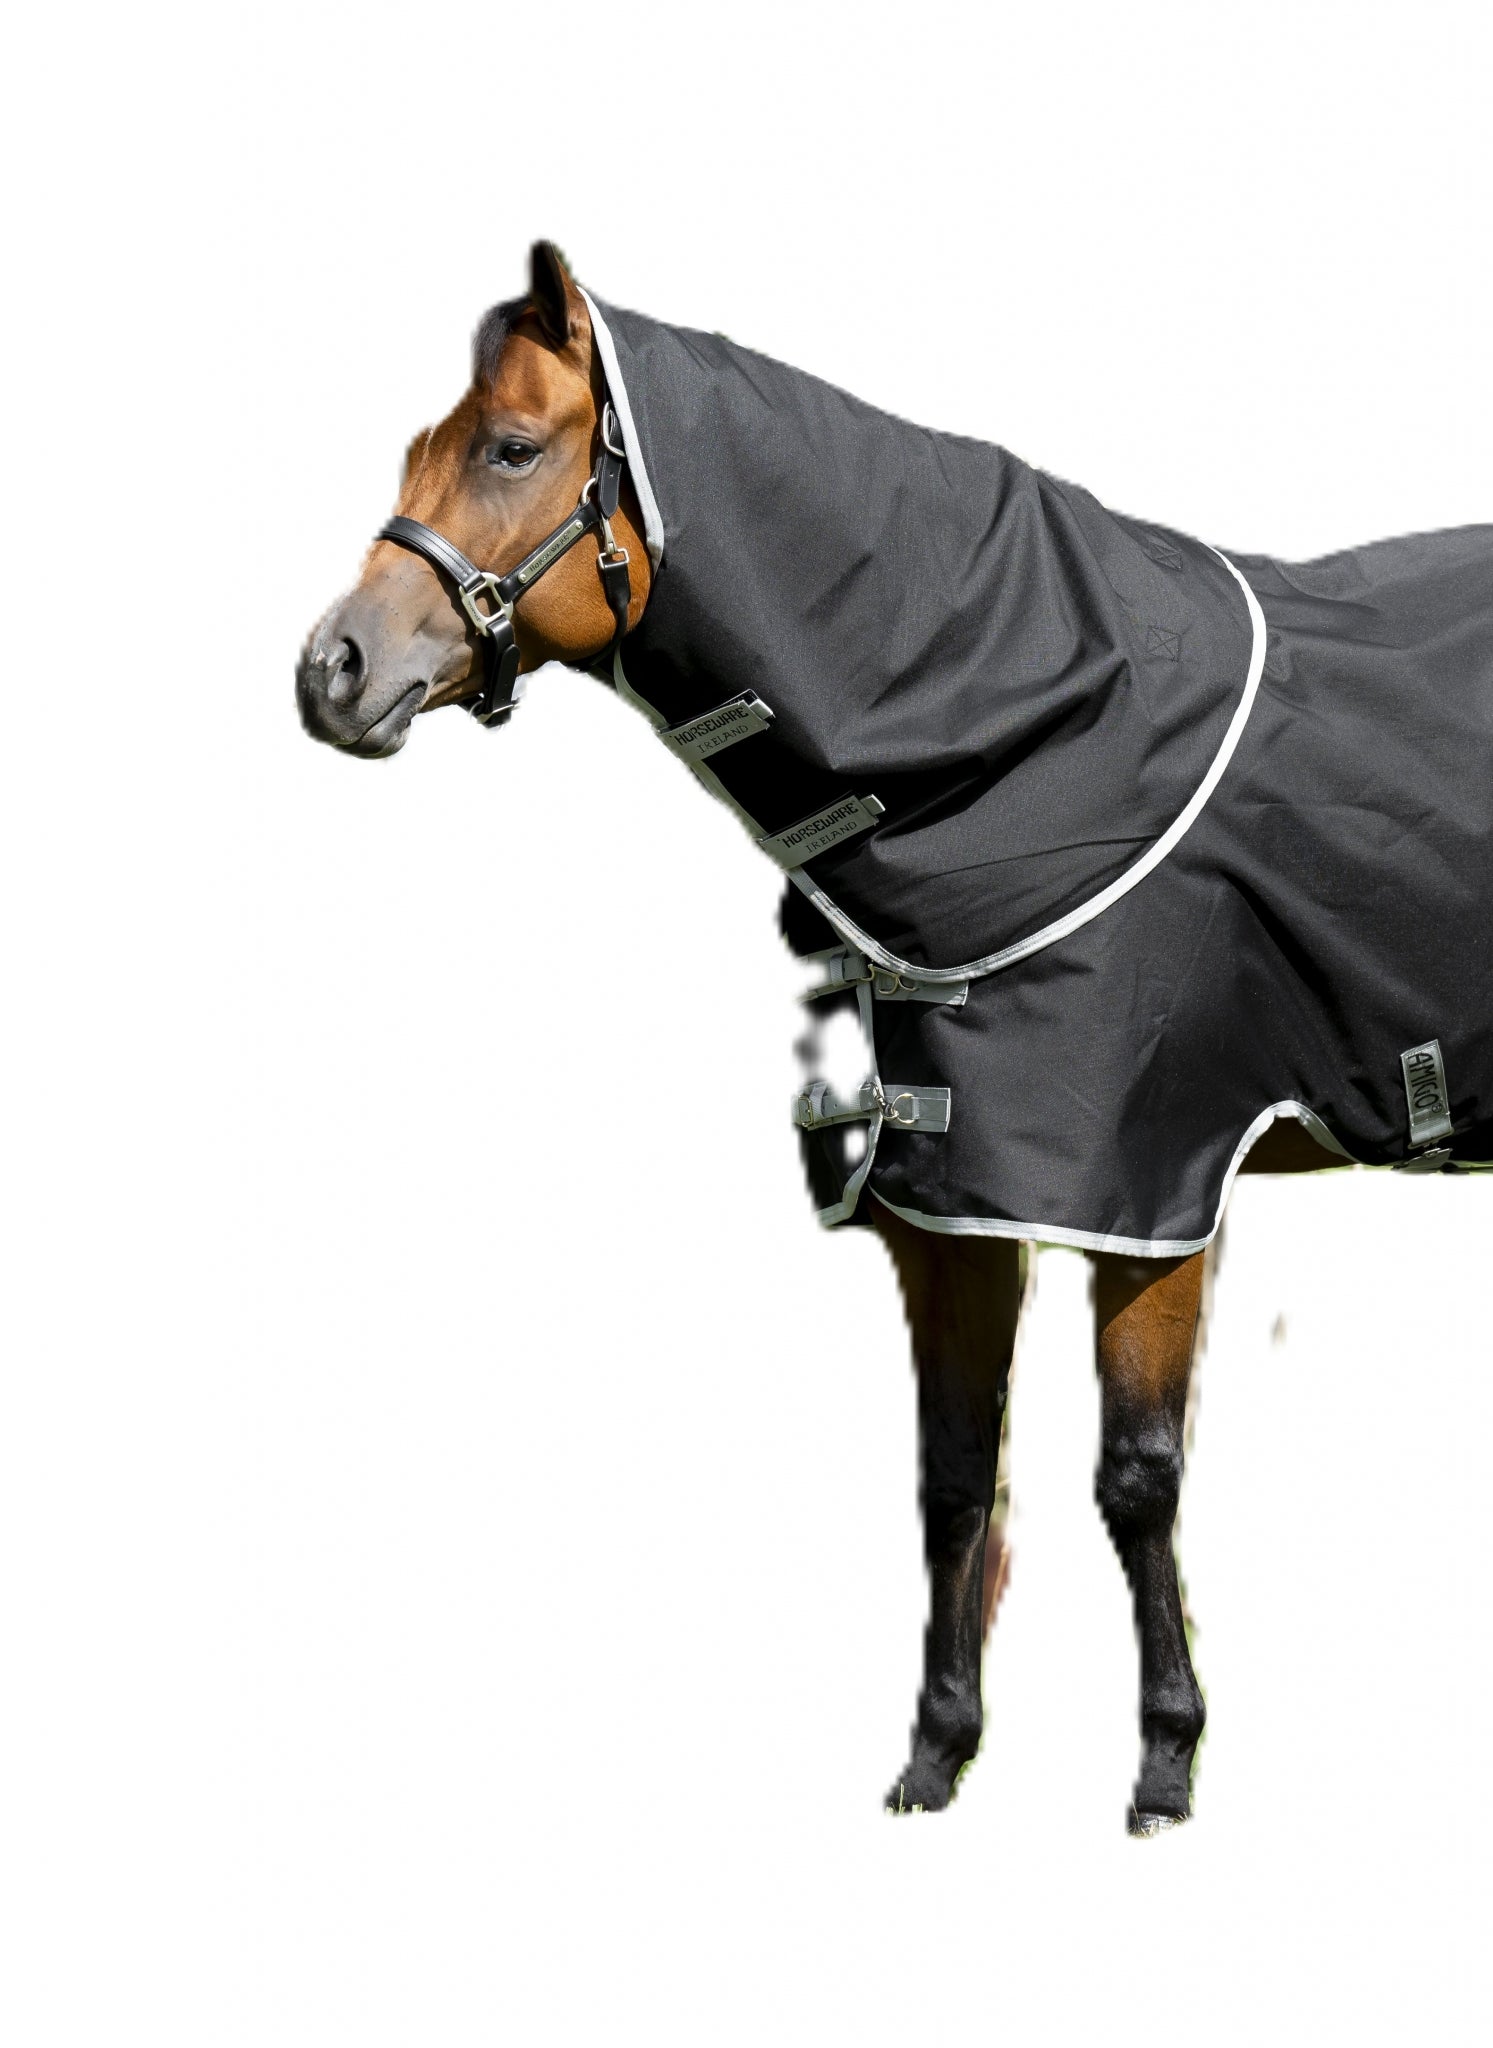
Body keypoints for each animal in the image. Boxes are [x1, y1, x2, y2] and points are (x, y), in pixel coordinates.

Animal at [296, 241, 1492, 1833]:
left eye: (509, 447)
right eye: (420, 448)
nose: (330, 671)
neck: (1051, 745)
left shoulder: (1147, 1189)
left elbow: (1136, 1477)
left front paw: (1165, 1762)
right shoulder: (955, 1205)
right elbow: (954, 1475)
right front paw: (937, 1751)